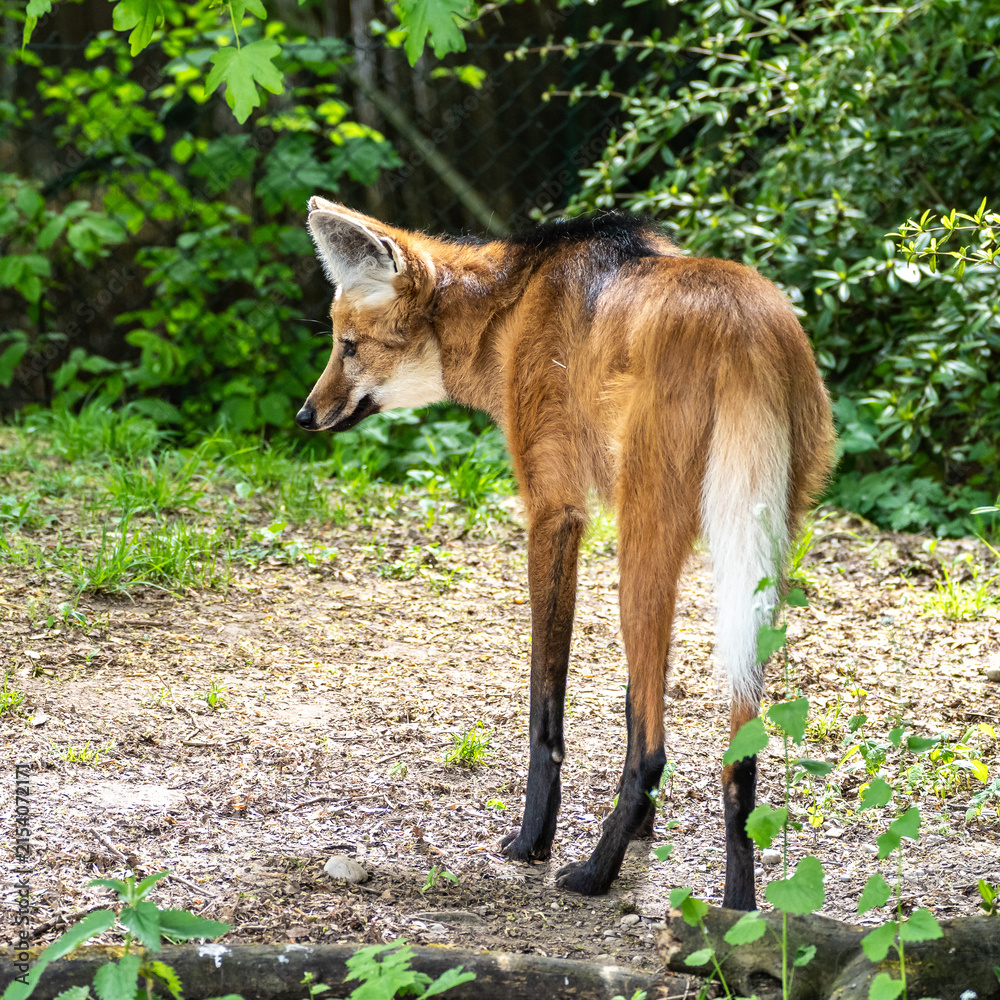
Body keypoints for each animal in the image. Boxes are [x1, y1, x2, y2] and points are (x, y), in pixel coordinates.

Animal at [296, 198, 835, 909]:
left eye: (348, 346)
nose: (305, 416)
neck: (507, 308)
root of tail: (745, 324)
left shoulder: (553, 511)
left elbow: (544, 702)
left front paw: (534, 842)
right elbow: (634, 703)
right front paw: (643, 831)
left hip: (647, 533)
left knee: (657, 749)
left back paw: (593, 874)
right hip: (766, 538)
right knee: (739, 748)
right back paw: (739, 910)